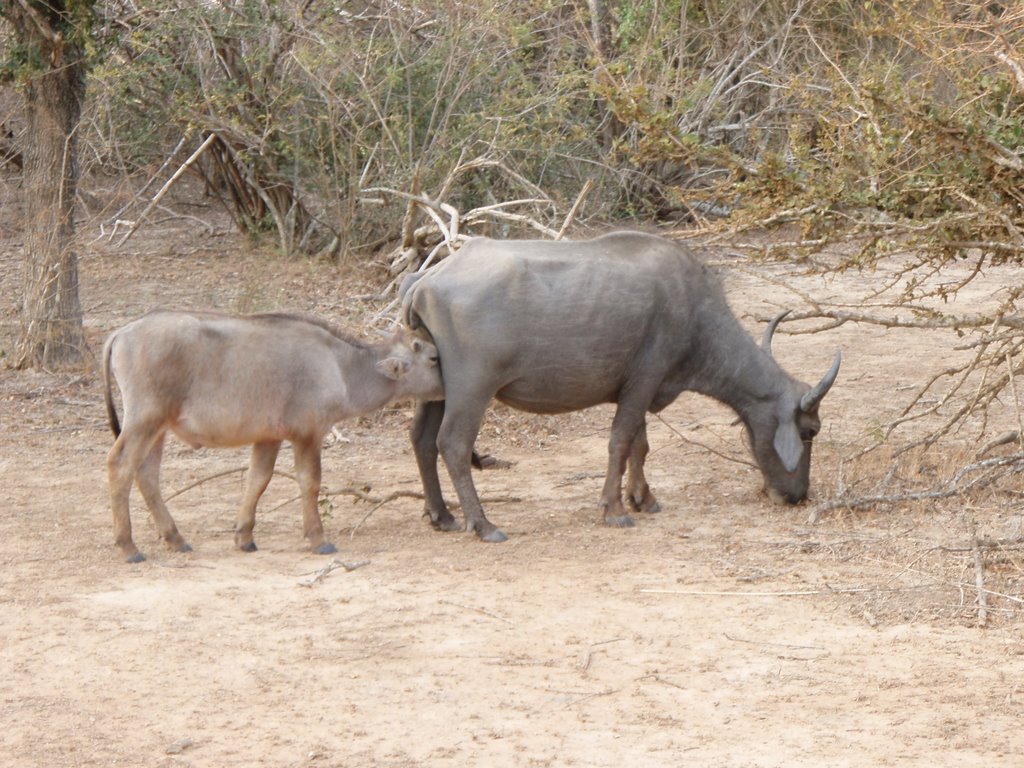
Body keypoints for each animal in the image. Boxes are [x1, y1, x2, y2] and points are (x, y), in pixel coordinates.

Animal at [101, 309, 442, 561]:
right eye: (432, 358)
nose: (447, 385)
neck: (340, 365)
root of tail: (122, 332)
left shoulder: (268, 438)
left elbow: (258, 480)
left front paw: (244, 537)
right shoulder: (308, 435)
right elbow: (310, 482)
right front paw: (318, 539)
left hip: (158, 429)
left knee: (147, 475)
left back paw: (175, 538)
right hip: (144, 420)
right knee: (120, 465)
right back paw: (128, 546)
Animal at [399, 231, 839, 544]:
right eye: (810, 430)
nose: (797, 496)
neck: (694, 312)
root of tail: (428, 277)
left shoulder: (637, 389)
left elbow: (640, 445)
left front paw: (642, 498)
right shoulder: (644, 382)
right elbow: (621, 441)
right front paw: (614, 508)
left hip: (436, 389)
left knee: (421, 439)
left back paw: (442, 515)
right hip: (472, 390)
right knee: (452, 444)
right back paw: (482, 523)